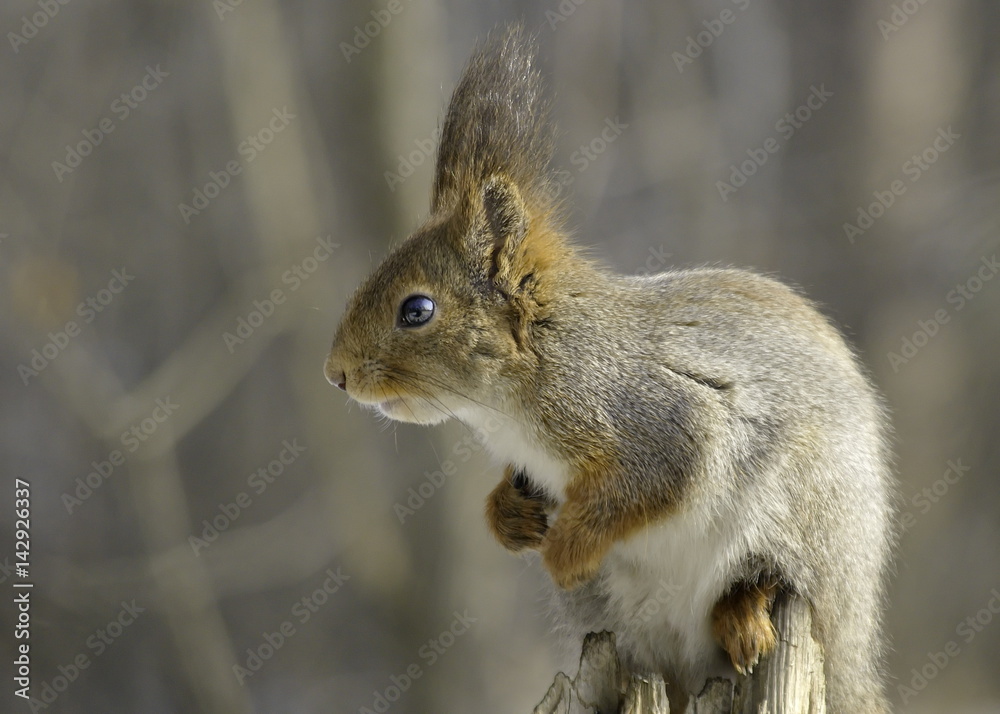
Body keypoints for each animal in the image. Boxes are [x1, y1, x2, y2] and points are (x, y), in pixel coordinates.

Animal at [325, 25, 895, 714]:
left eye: (417, 310)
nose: (335, 374)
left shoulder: (655, 416)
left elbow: (649, 483)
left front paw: (566, 550)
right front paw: (509, 519)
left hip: (807, 515)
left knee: (778, 581)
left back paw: (745, 612)